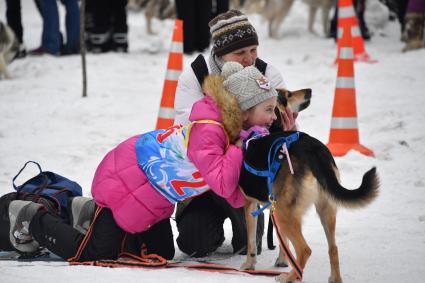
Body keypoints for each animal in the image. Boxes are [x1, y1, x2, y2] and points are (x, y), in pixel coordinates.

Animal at [237, 89, 380, 283]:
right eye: (288, 94)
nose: (309, 91)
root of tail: (313, 149)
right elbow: (283, 242)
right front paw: (282, 260)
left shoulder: (251, 205)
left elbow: (251, 240)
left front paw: (248, 265)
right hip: (324, 209)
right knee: (333, 248)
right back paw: (333, 278)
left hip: (284, 213)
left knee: (305, 250)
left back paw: (290, 276)